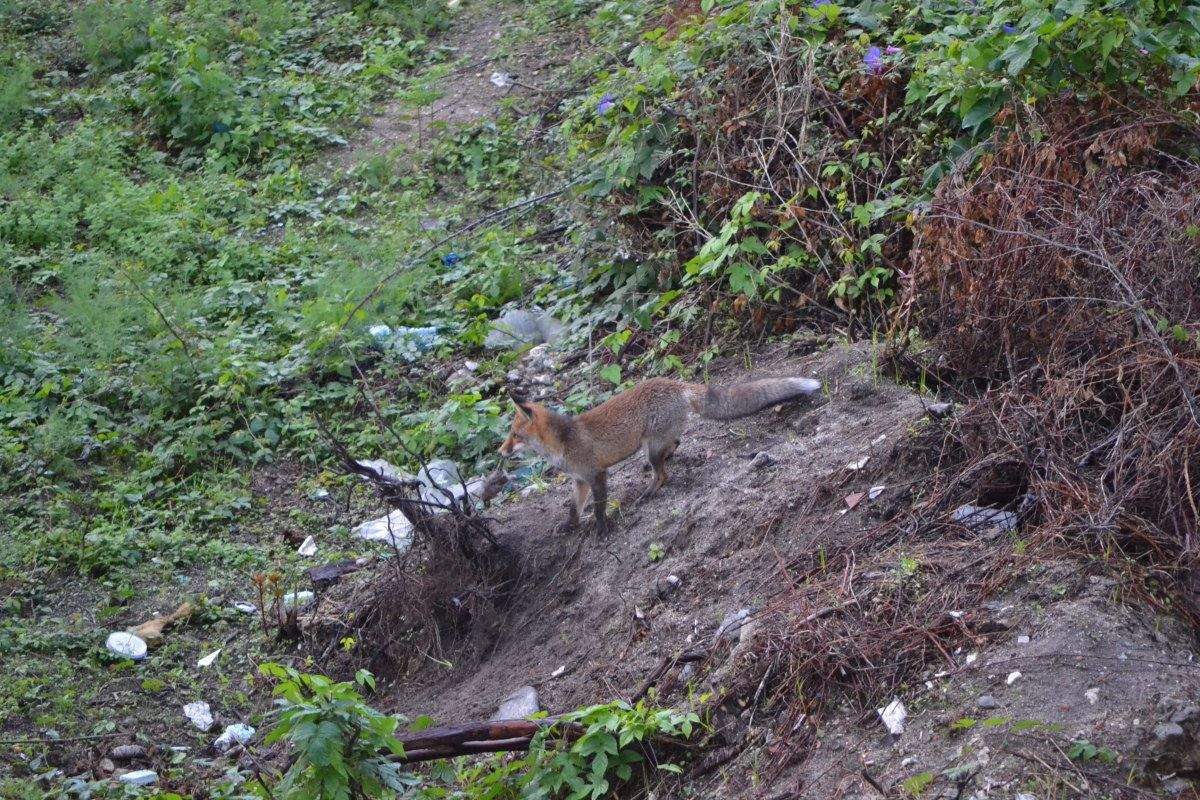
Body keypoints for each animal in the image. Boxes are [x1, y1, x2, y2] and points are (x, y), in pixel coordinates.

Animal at [498, 375, 822, 535]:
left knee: (663, 474)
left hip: (650, 447)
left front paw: (602, 530)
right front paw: (569, 527)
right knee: (675, 444)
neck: (563, 443)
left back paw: (650, 492)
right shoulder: (579, 481)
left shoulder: (597, 474)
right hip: (654, 443)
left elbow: (600, 508)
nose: (501, 452)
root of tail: (677, 383)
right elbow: (573, 509)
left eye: (514, 435)